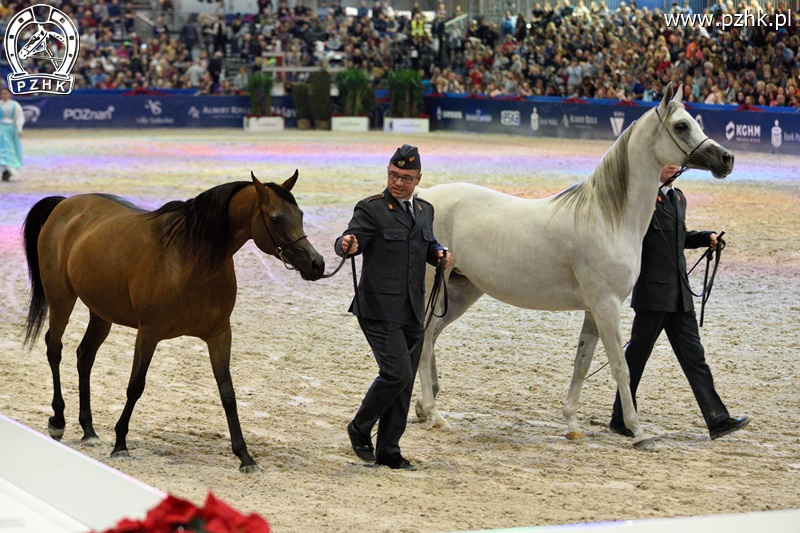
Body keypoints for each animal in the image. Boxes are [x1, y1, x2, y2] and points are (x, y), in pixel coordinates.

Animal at [25, 169, 324, 470]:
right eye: (275, 218)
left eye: (300, 214)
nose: (317, 264)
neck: (189, 259)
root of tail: (66, 204)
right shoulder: (148, 333)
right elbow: (135, 386)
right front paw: (120, 444)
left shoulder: (219, 335)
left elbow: (228, 393)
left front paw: (244, 456)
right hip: (61, 299)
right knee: (54, 348)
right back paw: (58, 421)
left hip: (101, 313)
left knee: (85, 356)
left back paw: (89, 430)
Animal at [416, 84, 736, 448]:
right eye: (682, 126)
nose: (726, 159)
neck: (608, 218)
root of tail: (424, 197)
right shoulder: (606, 305)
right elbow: (621, 367)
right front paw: (638, 432)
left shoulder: (593, 310)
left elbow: (581, 364)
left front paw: (571, 423)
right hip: (433, 291)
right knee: (424, 342)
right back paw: (435, 415)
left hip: (460, 292)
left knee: (431, 338)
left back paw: (425, 407)